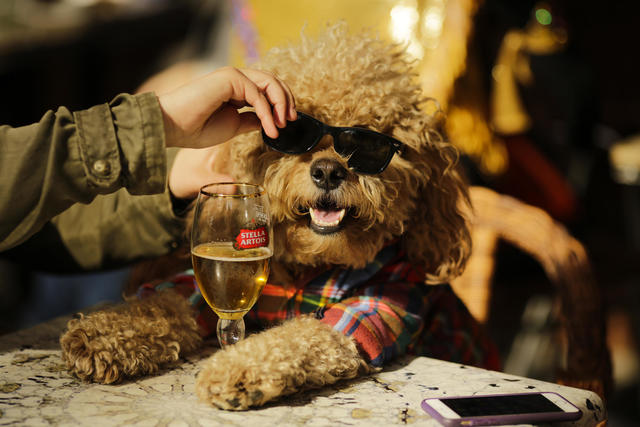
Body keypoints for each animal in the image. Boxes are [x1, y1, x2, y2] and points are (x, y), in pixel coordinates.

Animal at [60, 23, 498, 412]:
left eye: (371, 139)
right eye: (290, 132)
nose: (328, 171)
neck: (309, 268)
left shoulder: (372, 308)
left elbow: (295, 338)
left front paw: (236, 371)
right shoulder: (204, 288)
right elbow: (163, 303)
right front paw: (99, 334)